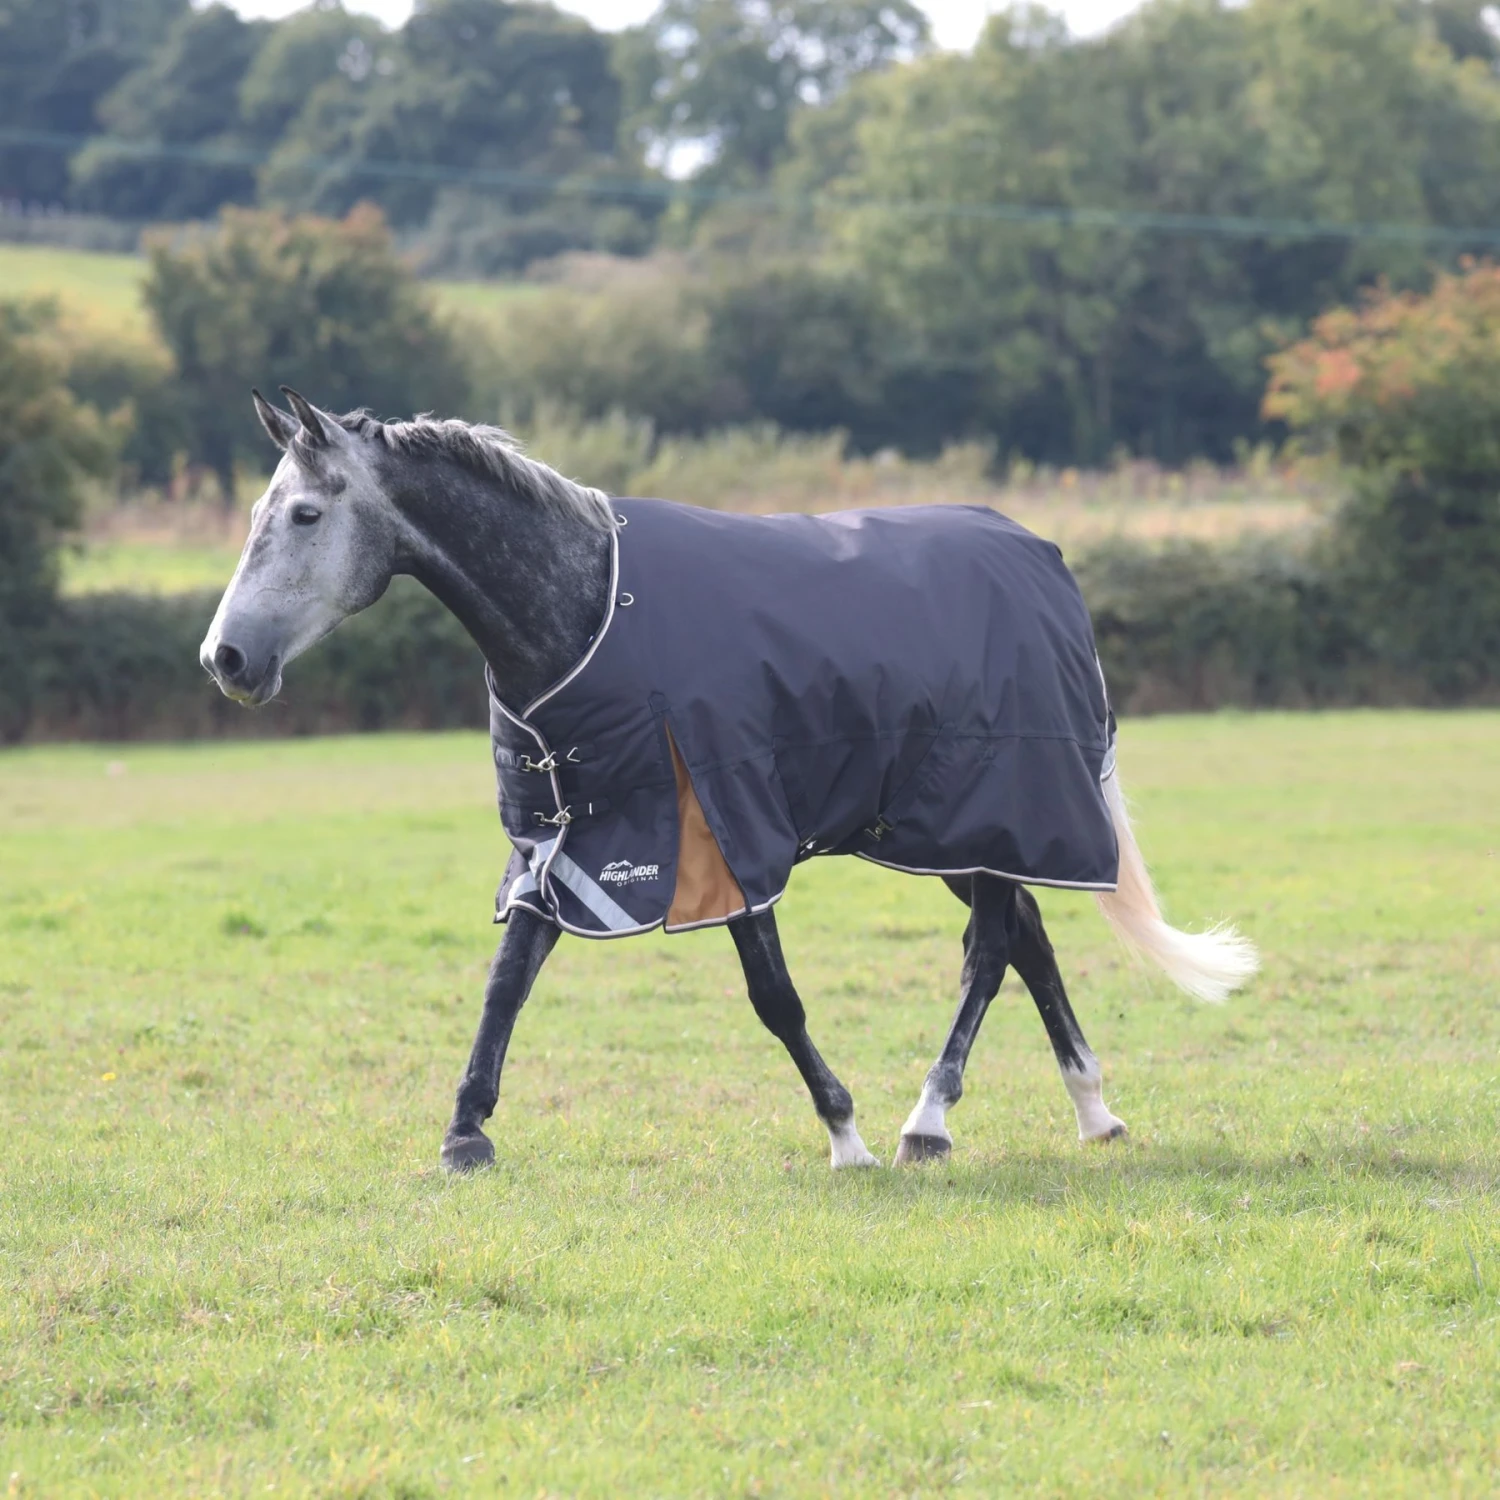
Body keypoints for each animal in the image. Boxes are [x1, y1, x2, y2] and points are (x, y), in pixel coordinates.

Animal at [202, 388, 1258, 1173]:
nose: (226, 659)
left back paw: (928, 1121)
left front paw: (846, 1135)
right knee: (1029, 939)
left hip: (991, 808)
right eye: (254, 515)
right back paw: (1092, 1113)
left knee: (992, 951)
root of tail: (1044, 559)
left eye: (304, 514)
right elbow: (507, 982)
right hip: (943, 830)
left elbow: (774, 996)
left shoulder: (726, 829)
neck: (589, 610)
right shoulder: (566, 840)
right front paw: (466, 1134)